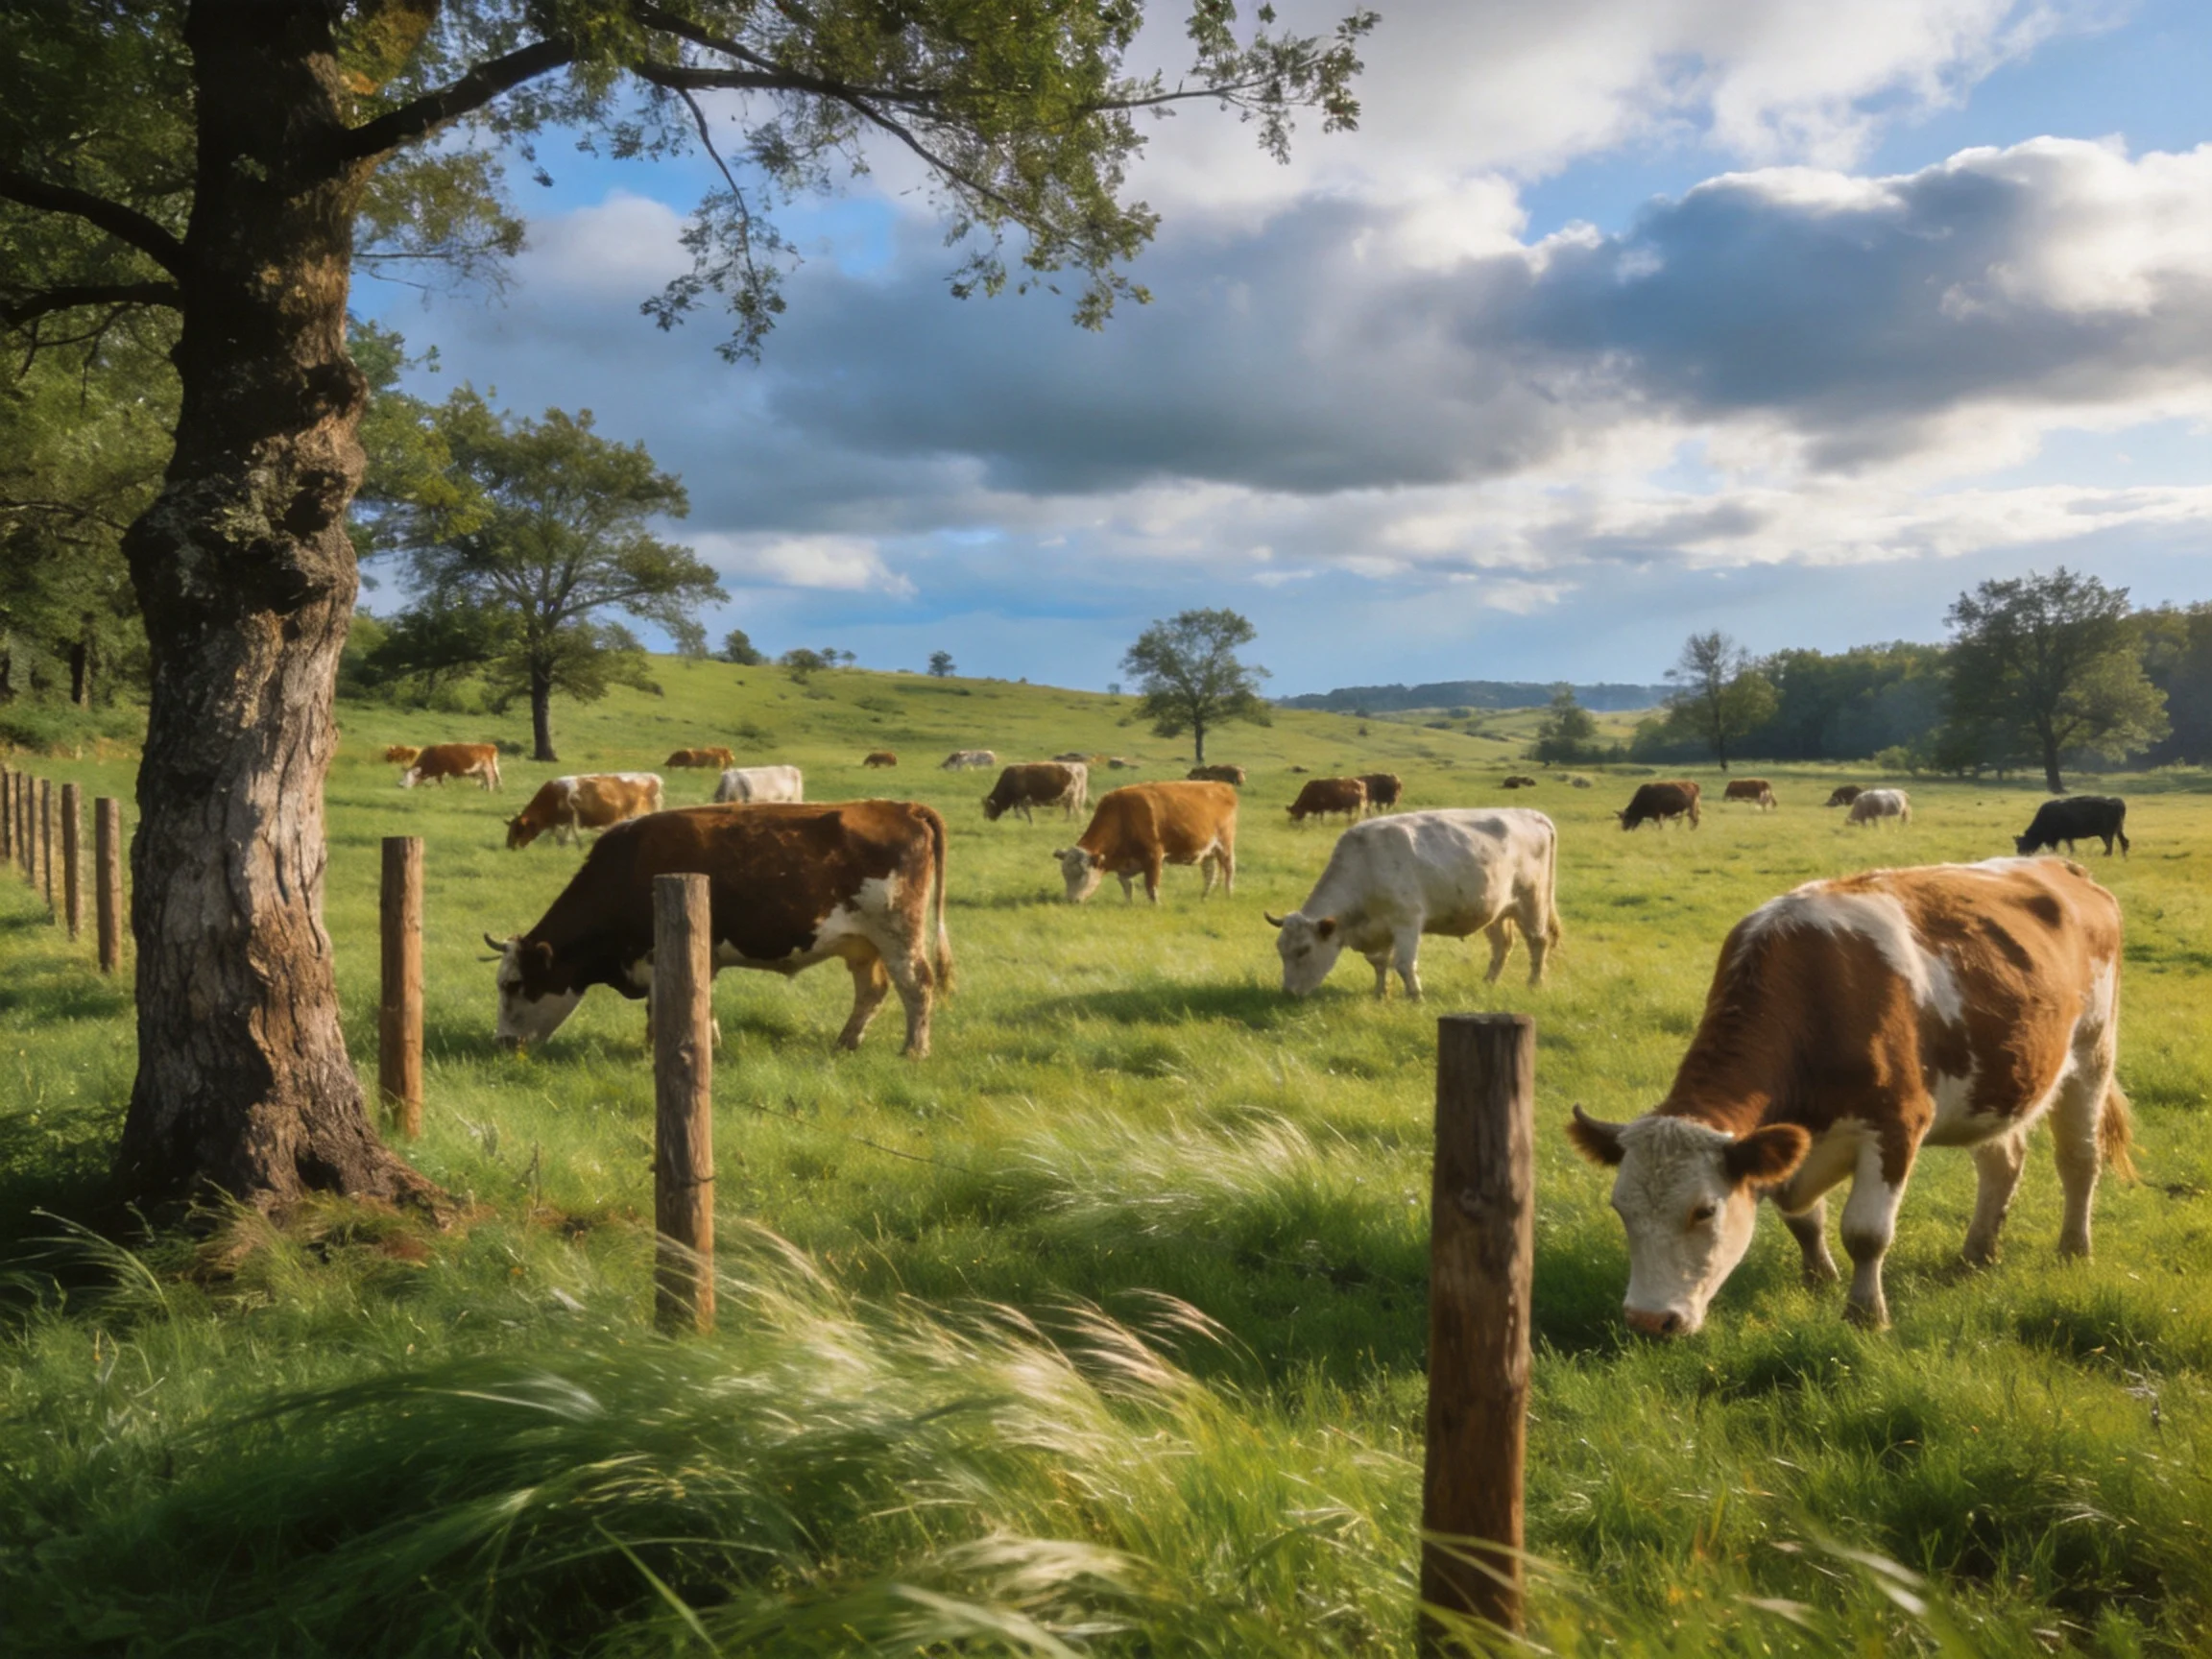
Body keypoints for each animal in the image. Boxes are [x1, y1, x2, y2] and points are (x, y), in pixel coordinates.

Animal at [488, 801, 952, 1058]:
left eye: (513, 984)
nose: (503, 1044)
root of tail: (903, 807)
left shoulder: (659, 957)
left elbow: (660, 1008)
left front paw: (654, 1051)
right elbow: (700, 1005)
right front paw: (707, 1044)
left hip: (899, 935)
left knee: (918, 985)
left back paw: (915, 1050)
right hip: (864, 945)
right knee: (872, 991)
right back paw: (845, 1043)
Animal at [506, 773, 664, 850]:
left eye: (519, 829)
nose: (509, 847)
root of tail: (654, 777)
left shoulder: (572, 814)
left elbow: (571, 831)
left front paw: (575, 845)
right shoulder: (562, 819)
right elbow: (561, 831)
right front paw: (559, 844)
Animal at [1053, 781, 1237, 904]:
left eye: (1082, 873)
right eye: (1065, 874)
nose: (1071, 900)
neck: (1122, 815)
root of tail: (1220, 785)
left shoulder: (1154, 856)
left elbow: (1151, 886)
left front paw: (1156, 907)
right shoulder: (1126, 864)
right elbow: (1126, 885)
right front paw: (1128, 904)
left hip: (1224, 845)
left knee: (1228, 870)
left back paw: (1228, 895)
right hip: (1208, 851)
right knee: (1210, 872)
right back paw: (1204, 897)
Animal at [1268, 809, 1561, 999]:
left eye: (1304, 950)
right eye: (1281, 950)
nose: (1289, 993)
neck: (1365, 864)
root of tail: (1533, 815)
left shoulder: (1407, 921)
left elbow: (1404, 963)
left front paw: (1415, 996)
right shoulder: (1379, 930)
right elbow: (1379, 962)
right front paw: (1380, 993)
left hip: (1532, 901)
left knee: (1538, 941)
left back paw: (1534, 984)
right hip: (1498, 911)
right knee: (1503, 945)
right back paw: (1489, 982)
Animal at [1566, 858, 2131, 1334]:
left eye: (1704, 1211)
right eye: (1620, 1209)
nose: (1647, 1320)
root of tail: (2061, 866)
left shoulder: (1896, 1125)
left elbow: (1865, 1232)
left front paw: (1865, 1314)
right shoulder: (1789, 1145)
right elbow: (1803, 1219)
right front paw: (1820, 1279)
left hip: (2093, 1052)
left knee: (2079, 1160)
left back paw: (2073, 1249)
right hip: (1994, 1086)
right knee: (2002, 1162)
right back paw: (1976, 1254)